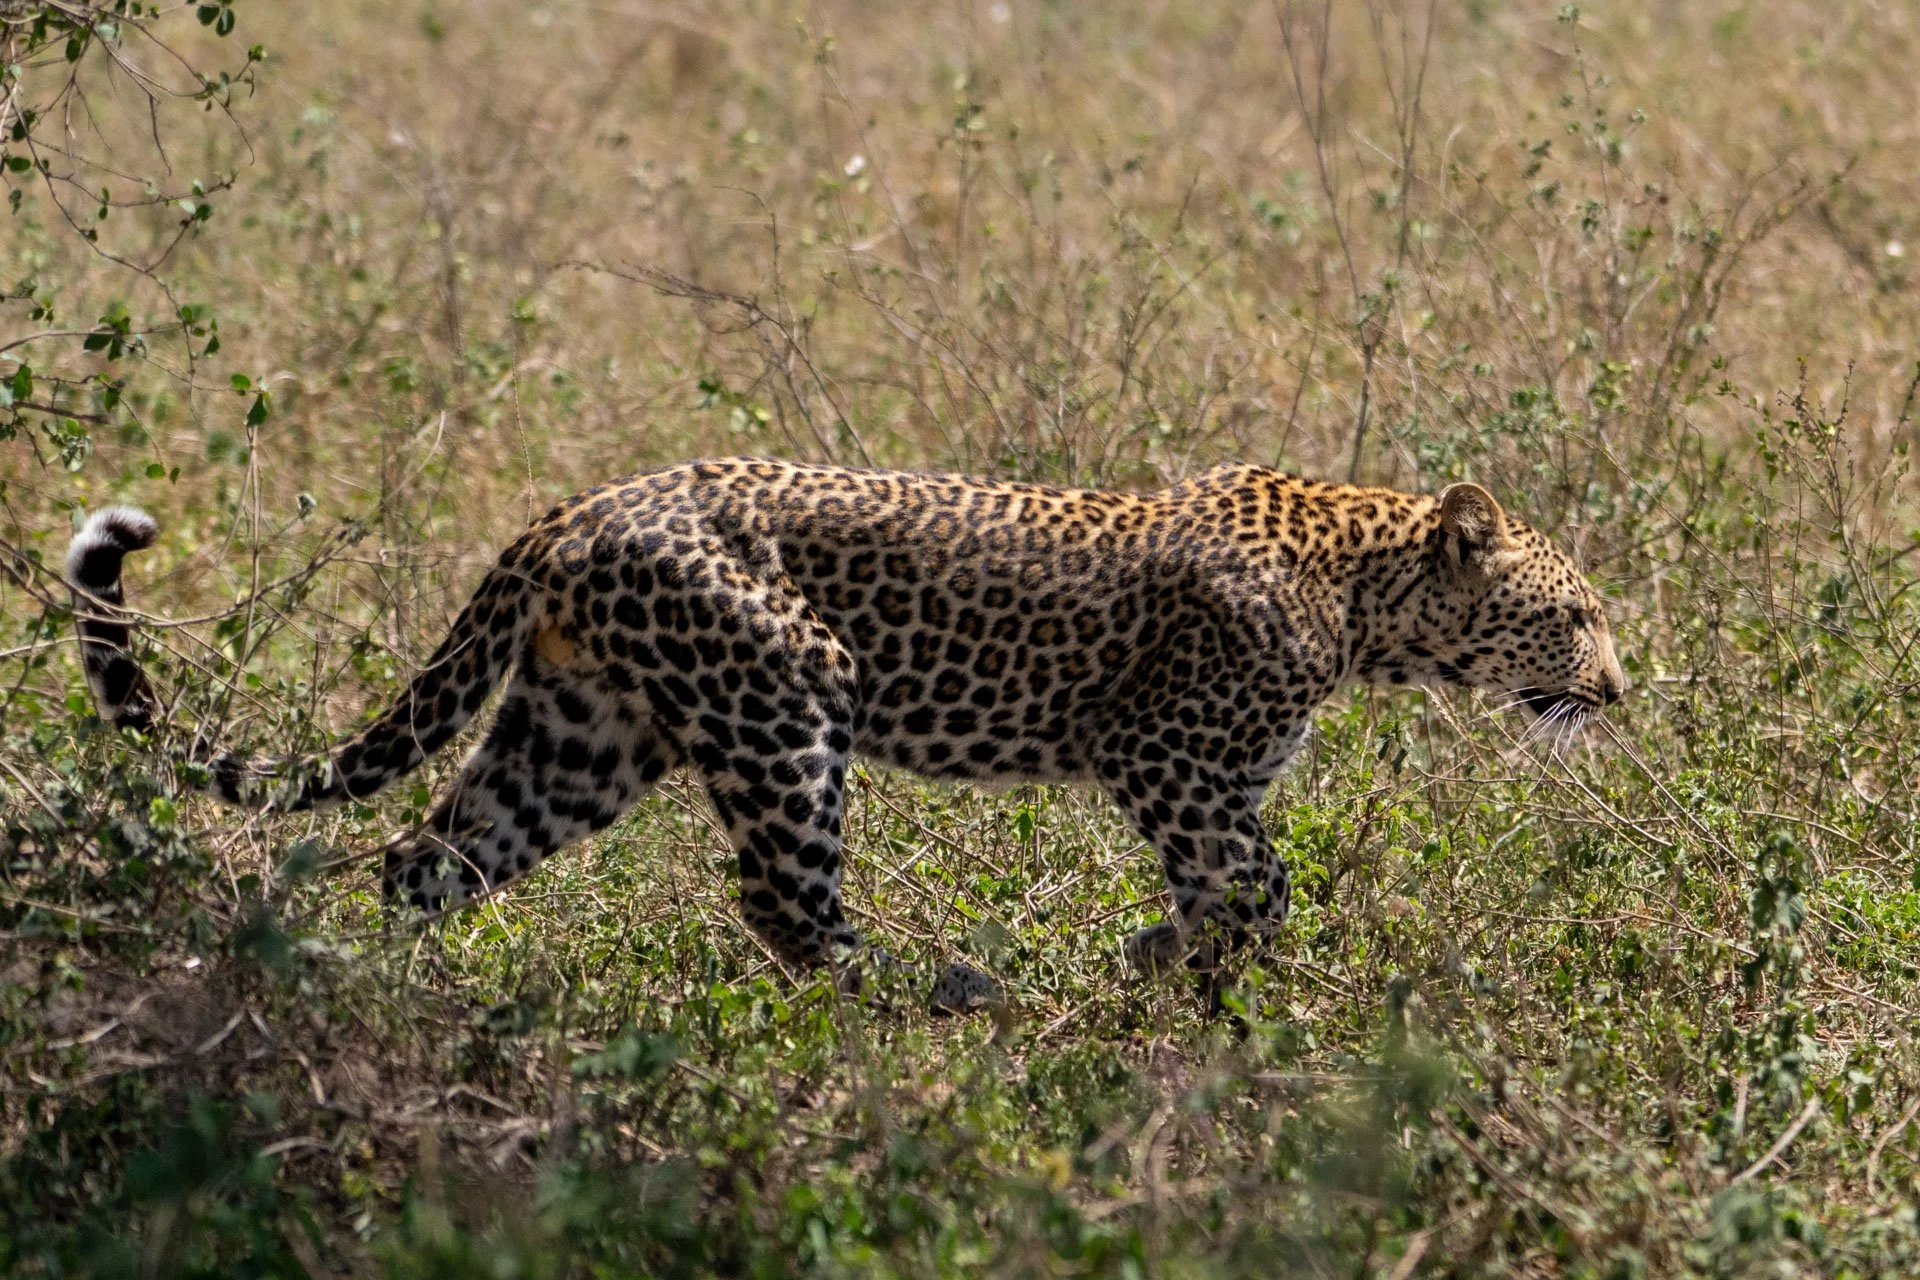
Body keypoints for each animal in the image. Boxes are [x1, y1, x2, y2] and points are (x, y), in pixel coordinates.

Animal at [66, 458, 1625, 1014]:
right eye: (1576, 615)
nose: (1619, 691)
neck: (1367, 593)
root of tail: (576, 505)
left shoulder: (1206, 778)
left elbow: (1237, 891)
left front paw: (1177, 974)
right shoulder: (1168, 756)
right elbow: (1257, 881)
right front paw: (1166, 966)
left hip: (584, 731)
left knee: (425, 859)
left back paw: (378, 992)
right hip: (784, 694)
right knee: (780, 897)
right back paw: (937, 1000)